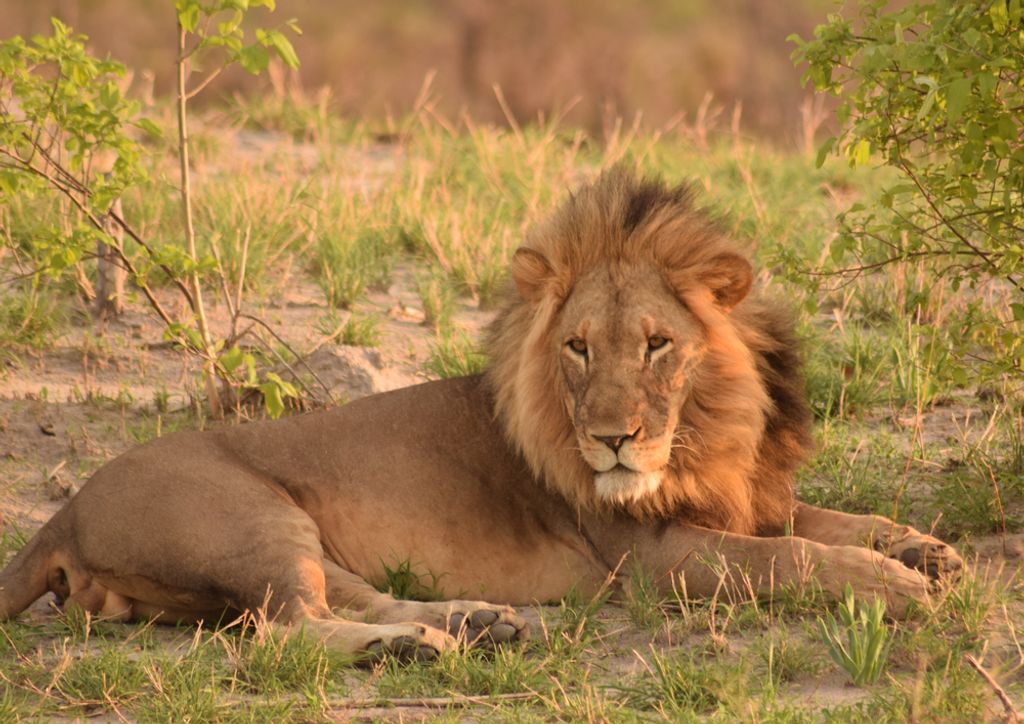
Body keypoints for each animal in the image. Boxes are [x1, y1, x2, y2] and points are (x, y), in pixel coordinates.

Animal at [0, 169, 962, 661]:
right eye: (577, 348)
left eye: (657, 344)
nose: (613, 442)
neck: (708, 430)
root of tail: (64, 511)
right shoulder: (649, 556)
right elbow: (792, 556)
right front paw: (895, 588)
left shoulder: (747, 498)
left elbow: (831, 519)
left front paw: (926, 551)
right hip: (248, 517)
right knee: (284, 632)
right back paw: (410, 651)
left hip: (288, 536)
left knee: (340, 597)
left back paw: (476, 623)